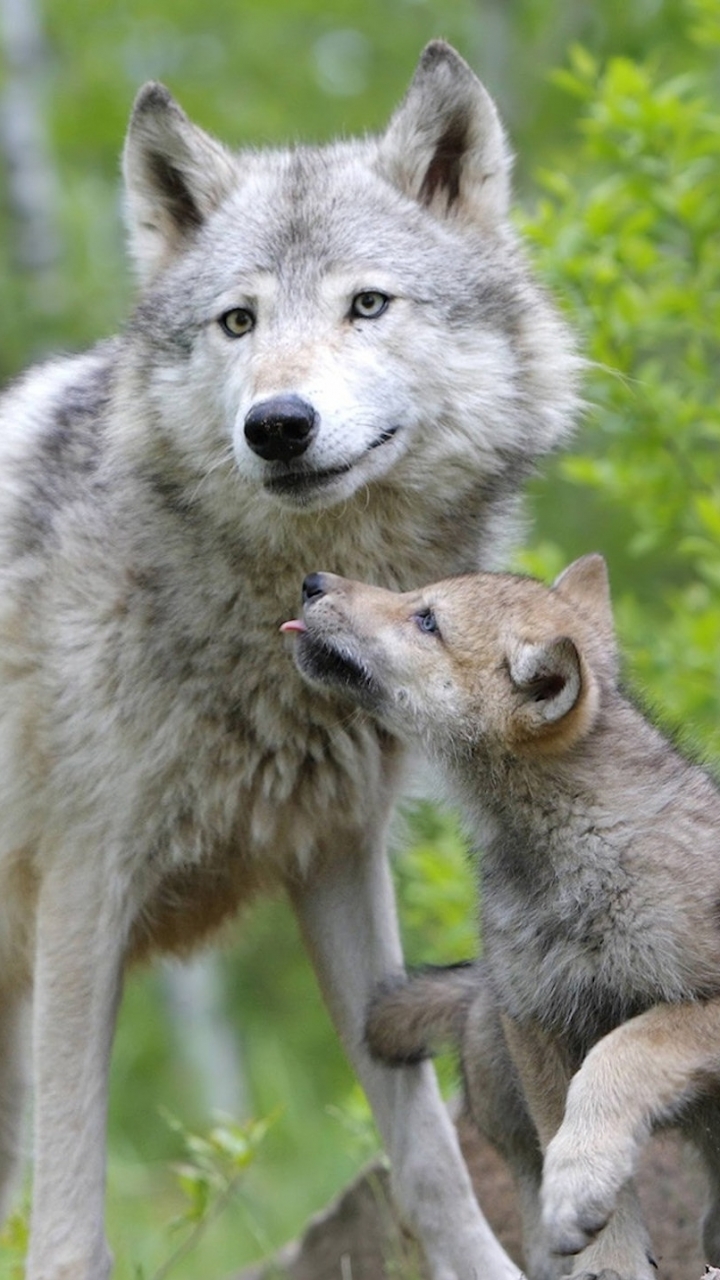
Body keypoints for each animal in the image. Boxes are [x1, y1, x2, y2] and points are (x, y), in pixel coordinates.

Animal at [0, 40, 573, 1280]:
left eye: (367, 304)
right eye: (236, 321)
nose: (277, 423)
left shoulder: (338, 858)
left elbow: (428, 1159)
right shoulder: (85, 889)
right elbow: (70, 1222)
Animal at [281, 563, 720, 1280]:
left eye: (427, 619)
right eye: (416, 600)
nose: (313, 580)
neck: (570, 852)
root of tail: (476, 984)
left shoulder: (688, 1010)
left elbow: (623, 1053)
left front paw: (582, 1191)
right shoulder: (537, 1020)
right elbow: (569, 1131)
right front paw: (606, 1259)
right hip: (495, 1051)